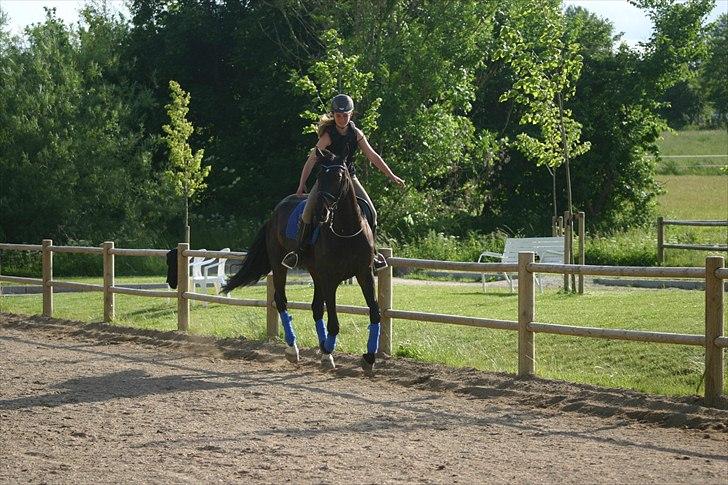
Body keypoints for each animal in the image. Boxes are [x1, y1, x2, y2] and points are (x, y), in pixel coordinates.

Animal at [220, 147, 382, 370]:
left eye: (339, 177)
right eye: (320, 176)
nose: (321, 212)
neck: (345, 231)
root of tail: (274, 213)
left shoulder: (364, 274)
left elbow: (375, 312)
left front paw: (368, 356)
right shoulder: (330, 278)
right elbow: (334, 322)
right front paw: (328, 351)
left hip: (315, 272)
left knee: (316, 308)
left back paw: (322, 348)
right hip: (280, 265)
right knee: (281, 301)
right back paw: (293, 348)